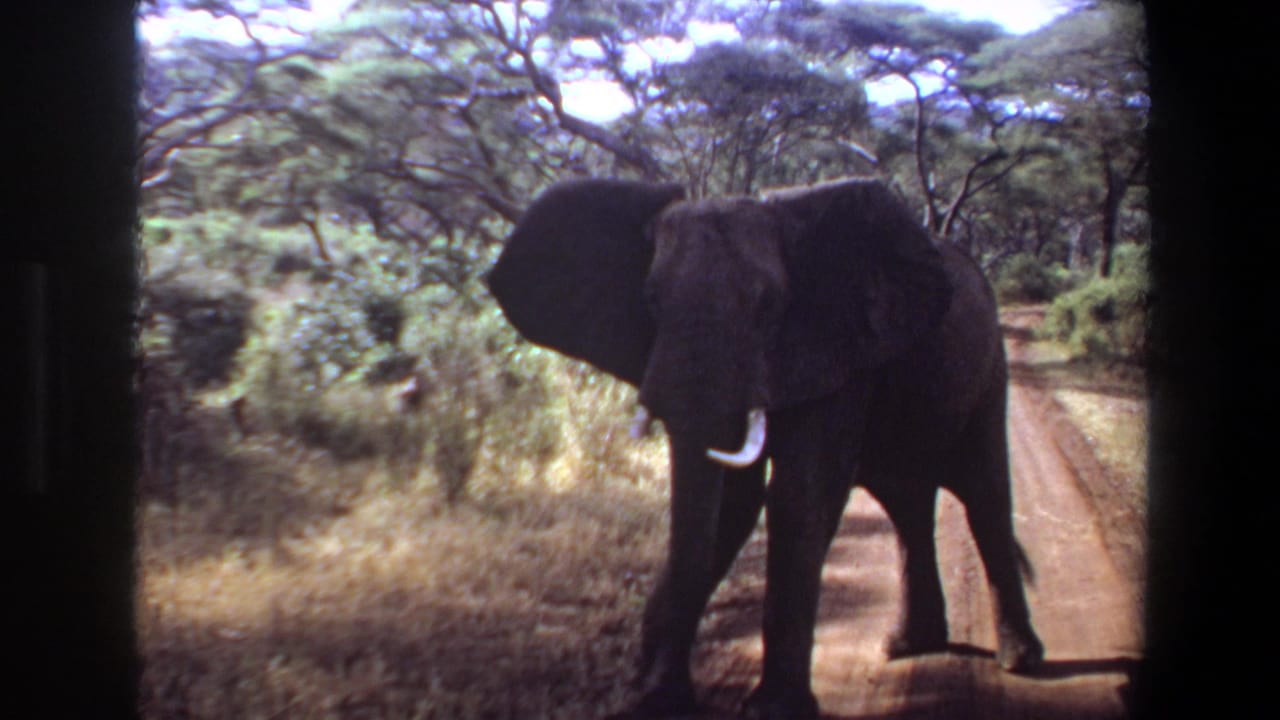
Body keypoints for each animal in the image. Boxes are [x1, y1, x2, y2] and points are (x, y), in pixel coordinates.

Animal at [485, 176, 1043, 719]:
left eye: (768, 306)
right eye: (651, 301)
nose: (663, 694)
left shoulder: (836, 350)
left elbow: (798, 495)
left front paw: (774, 709)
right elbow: (734, 501)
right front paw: (652, 694)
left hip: (989, 369)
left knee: (986, 497)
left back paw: (1019, 661)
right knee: (907, 505)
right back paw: (909, 646)